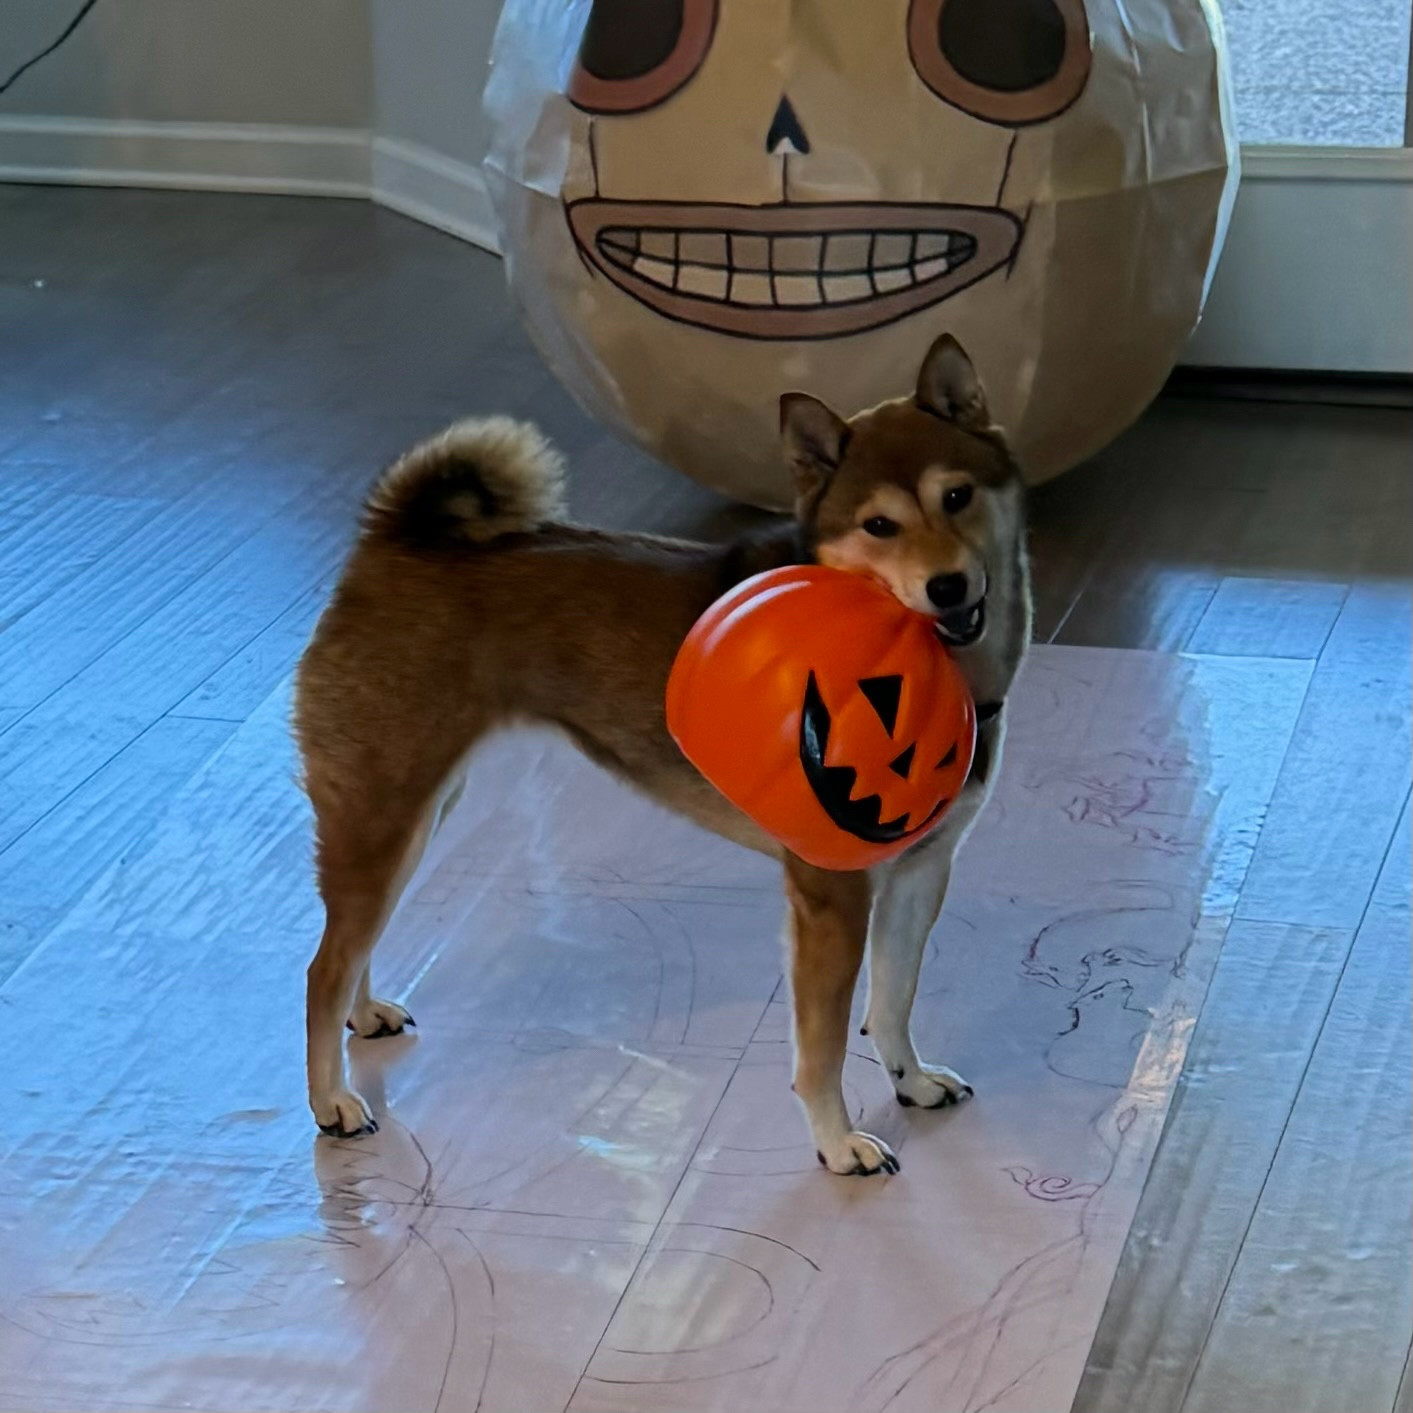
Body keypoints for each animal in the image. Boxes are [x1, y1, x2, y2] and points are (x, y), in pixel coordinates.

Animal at [298, 336, 1028, 1175]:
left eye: (957, 496)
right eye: (879, 524)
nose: (947, 586)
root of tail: (389, 540)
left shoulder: (919, 873)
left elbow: (893, 1000)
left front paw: (910, 1081)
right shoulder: (831, 897)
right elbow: (822, 1046)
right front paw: (837, 1141)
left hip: (414, 810)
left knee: (352, 945)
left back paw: (363, 1017)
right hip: (387, 810)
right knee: (323, 965)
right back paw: (330, 1100)